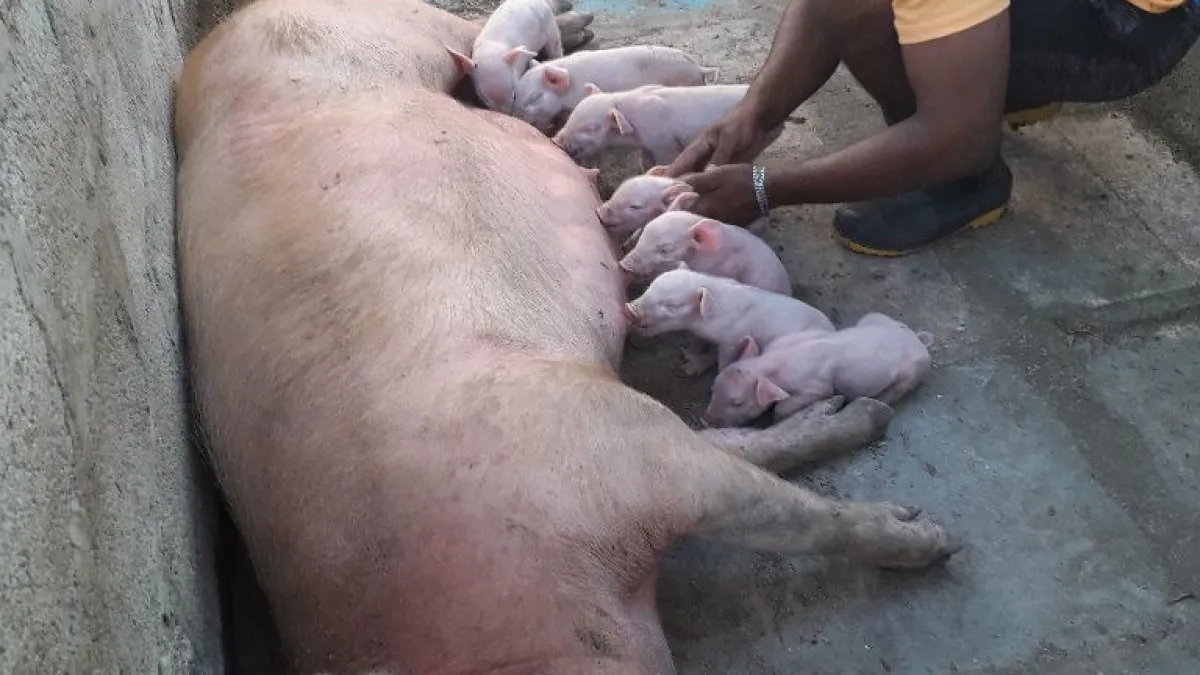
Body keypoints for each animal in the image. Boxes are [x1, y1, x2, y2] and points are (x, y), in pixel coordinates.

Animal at [553, 83, 785, 169]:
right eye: (572, 116)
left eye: (590, 128)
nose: (555, 139)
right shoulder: (647, 146)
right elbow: (644, 162)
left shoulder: (664, 145)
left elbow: (665, 161)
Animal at [624, 266, 835, 375]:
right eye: (650, 287)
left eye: (673, 305)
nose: (629, 309)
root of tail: (832, 330)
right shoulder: (701, 334)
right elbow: (697, 344)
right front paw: (686, 355)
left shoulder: (732, 341)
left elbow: (724, 361)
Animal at [703, 313, 935, 428]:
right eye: (712, 389)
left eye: (737, 403)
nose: (705, 421)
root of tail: (917, 340)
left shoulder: (817, 387)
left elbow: (785, 407)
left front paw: (776, 420)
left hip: (911, 373)